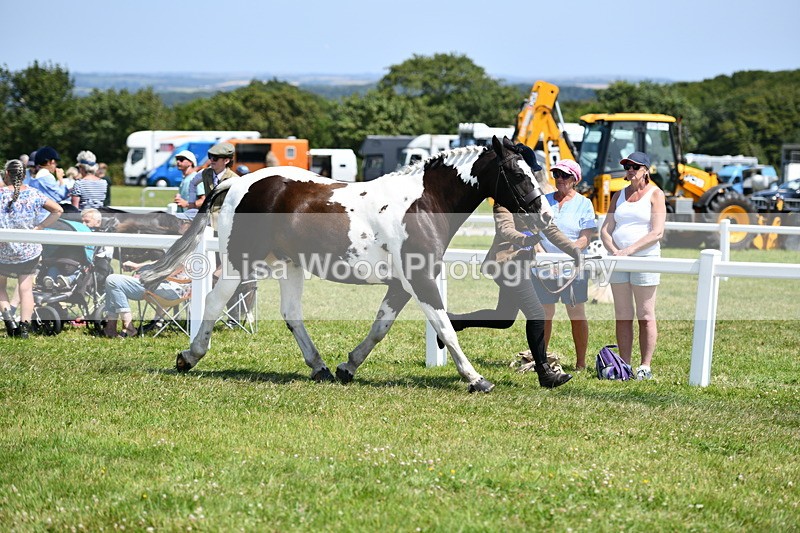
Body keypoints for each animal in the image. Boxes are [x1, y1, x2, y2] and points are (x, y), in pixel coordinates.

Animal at [140, 136, 550, 393]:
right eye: (517, 173)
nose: (543, 214)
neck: (423, 203)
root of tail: (238, 184)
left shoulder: (402, 285)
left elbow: (380, 328)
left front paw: (347, 367)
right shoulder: (421, 280)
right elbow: (446, 328)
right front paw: (477, 379)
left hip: (289, 265)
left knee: (292, 314)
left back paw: (320, 367)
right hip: (241, 262)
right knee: (212, 303)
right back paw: (189, 357)